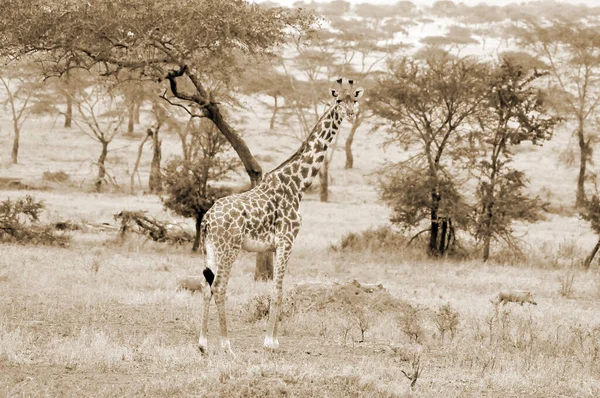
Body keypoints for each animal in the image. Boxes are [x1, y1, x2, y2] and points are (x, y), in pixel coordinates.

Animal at [199, 79, 364, 352]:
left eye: (355, 99)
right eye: (338, 100)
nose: (350, 114)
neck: (299, 184)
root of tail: (207, 220)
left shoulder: (275, 245)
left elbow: (278, 289)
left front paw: (273, 339)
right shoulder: (287, 240)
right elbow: (277, 291)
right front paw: (269, 342)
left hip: (210, 249)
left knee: (206, 286)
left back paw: (202, 344)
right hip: (229, 248)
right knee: (219, 287)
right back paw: (226, 344)